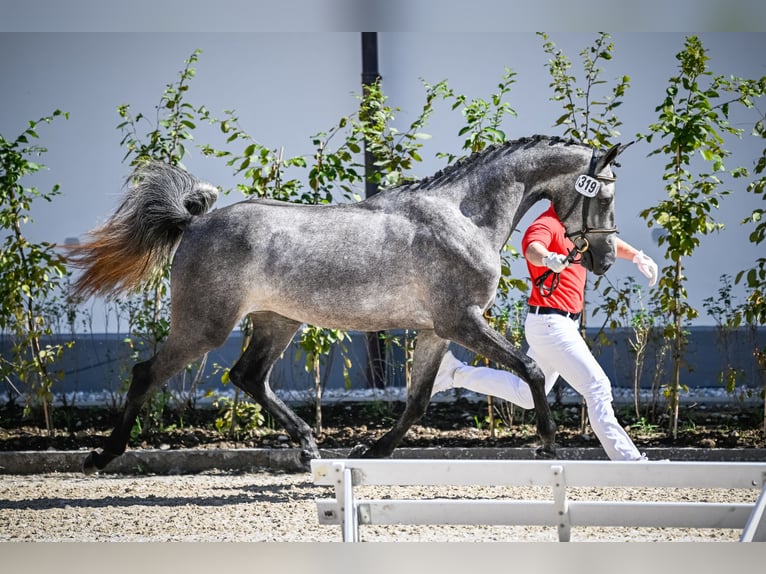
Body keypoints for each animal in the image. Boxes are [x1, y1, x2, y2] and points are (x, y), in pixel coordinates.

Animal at [67, 134, 632, 472]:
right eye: (605, 195)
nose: (604, 258)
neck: (463, 215)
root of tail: (195, 222)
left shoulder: (436, 329)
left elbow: (418, 399)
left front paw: (373, 448)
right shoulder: (462, 321)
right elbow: (532, 369)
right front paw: (548, 445)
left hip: (277, 322)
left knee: (248, 377)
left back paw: (308, 444)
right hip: (205, 325)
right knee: (147, 373)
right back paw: (103, 454)